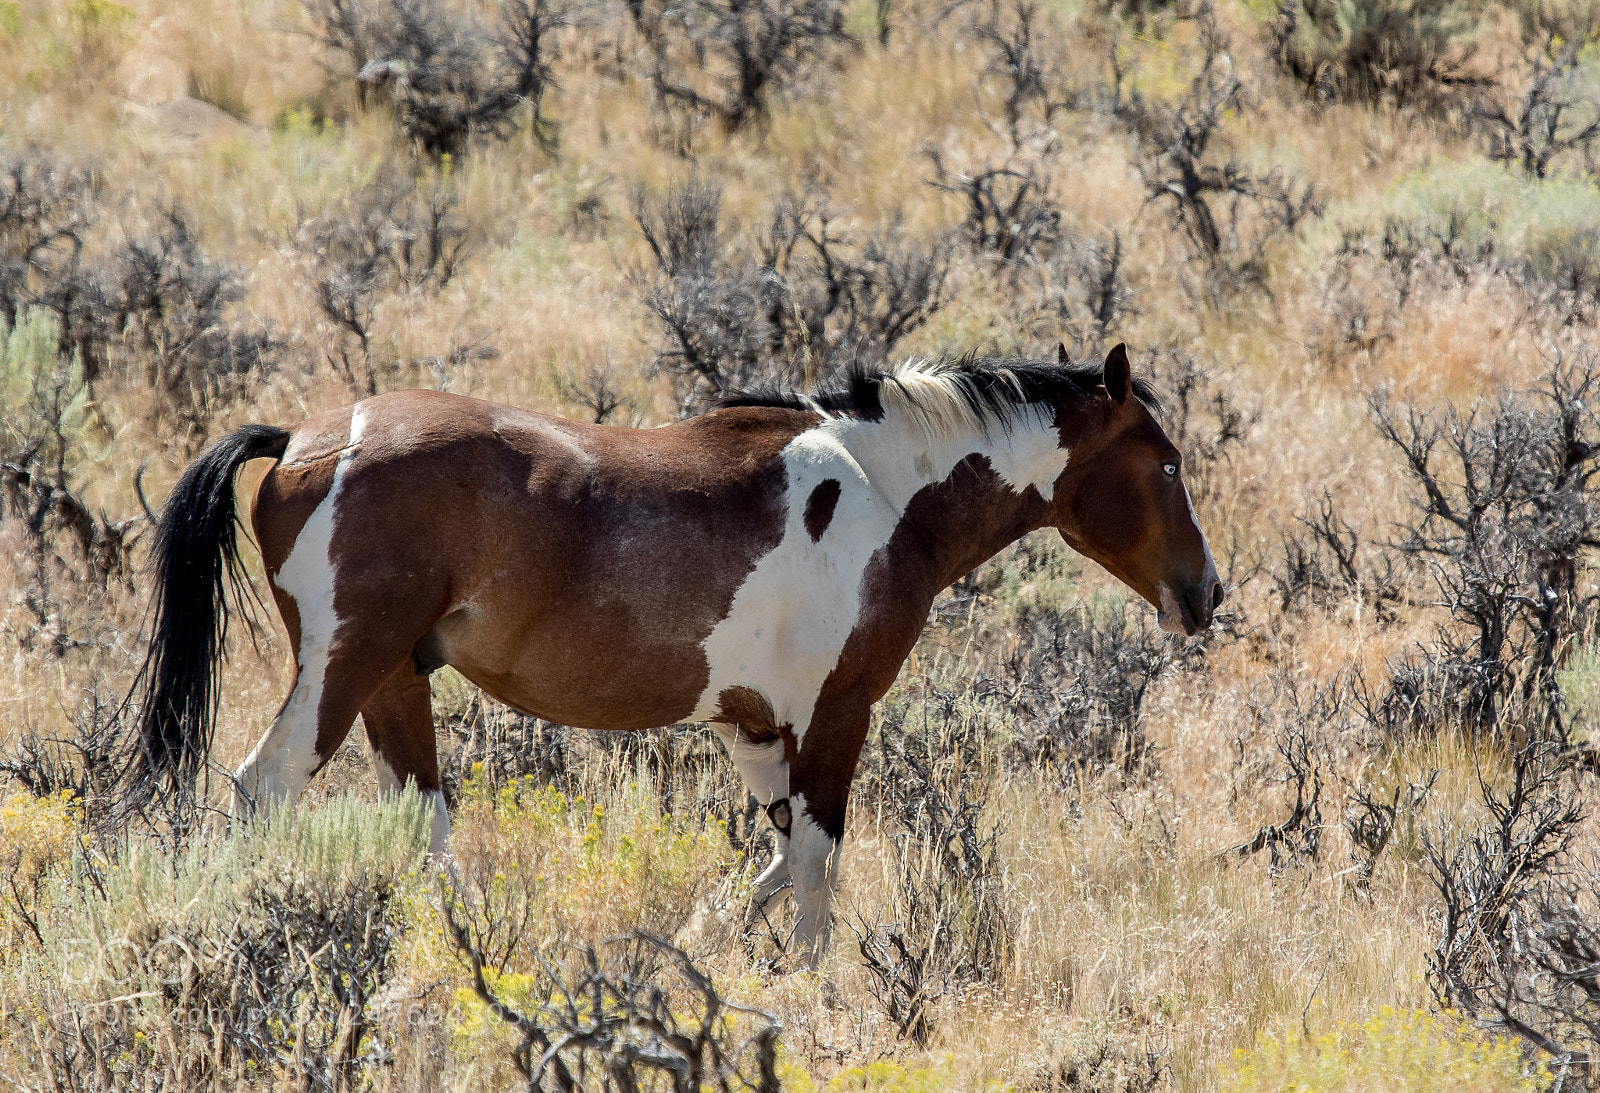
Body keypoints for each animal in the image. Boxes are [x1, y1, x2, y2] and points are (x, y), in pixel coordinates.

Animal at [130, 343, 1221, 961]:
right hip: (341, 672)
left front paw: (699, 943)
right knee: (260, 787)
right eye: (1165, 463)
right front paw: (813, 988)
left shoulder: (756, 730)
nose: (1206, 593)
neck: (881, 490)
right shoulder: (835, 715)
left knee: (422, 823)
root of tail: (303, 440)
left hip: (396, 683)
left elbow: (774, 862)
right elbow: (816, 861)